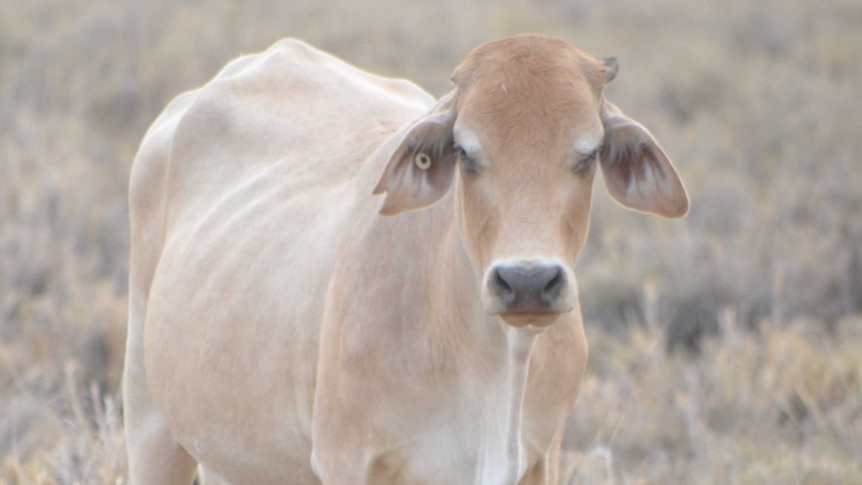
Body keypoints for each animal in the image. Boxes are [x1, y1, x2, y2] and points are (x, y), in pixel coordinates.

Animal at [125, 35, 692, 484]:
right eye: (465, 152)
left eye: (588, 154)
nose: (527, 281)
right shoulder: (346, 459)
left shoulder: (542, 457)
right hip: (151, 424)